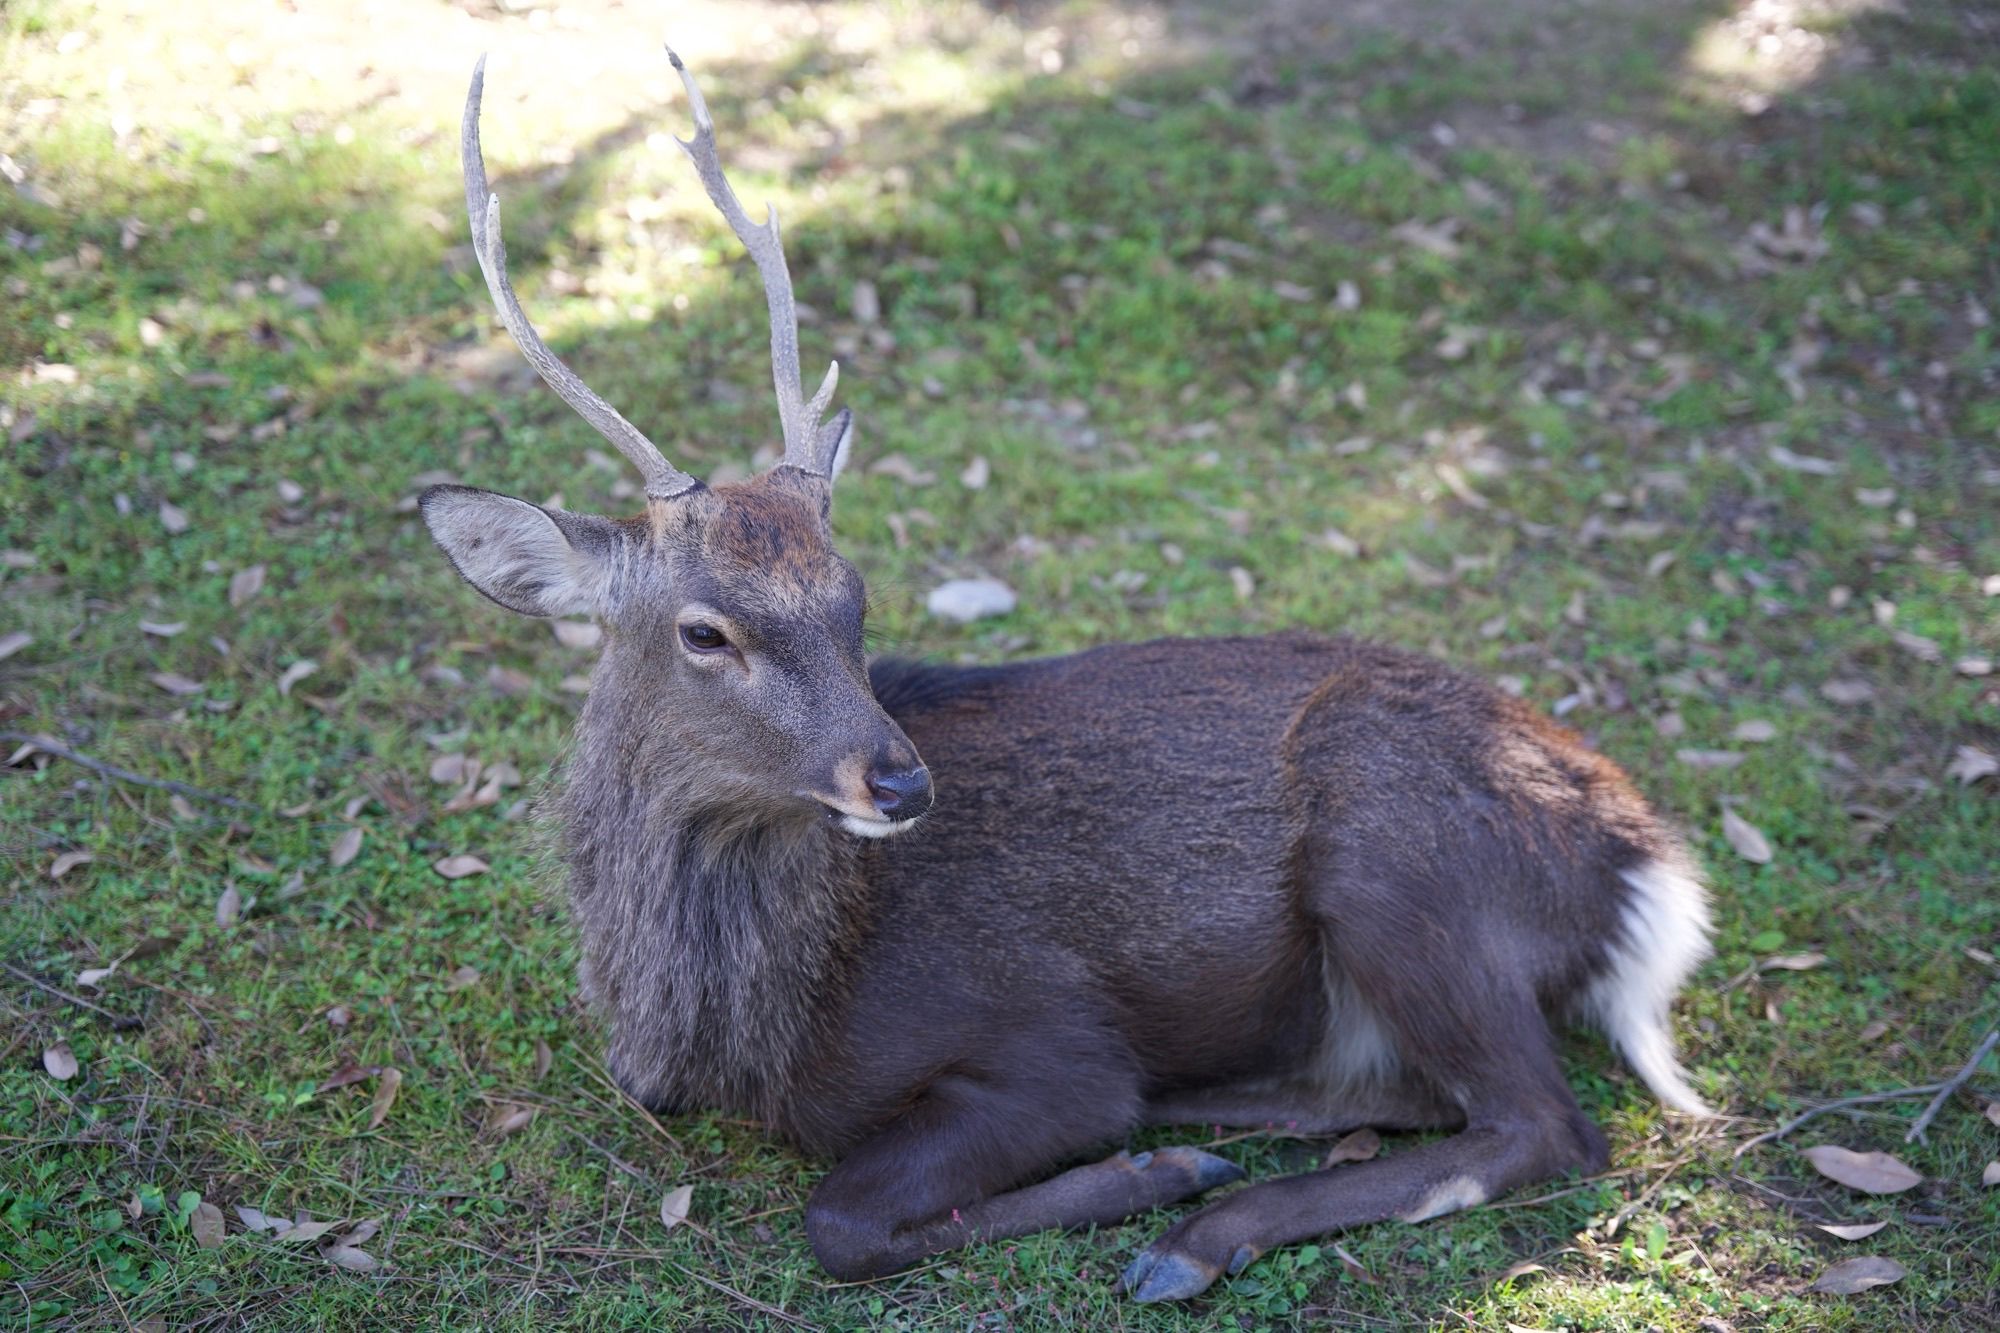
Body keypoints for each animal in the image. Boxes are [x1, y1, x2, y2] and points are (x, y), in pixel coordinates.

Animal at [426, 49, 1720, 1296]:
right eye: (705, 632)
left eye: (854, 599)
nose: (900, 782)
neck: (742, 1029)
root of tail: (1647, 870)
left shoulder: (1047, 1038)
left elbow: (842, 1216)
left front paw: (1145, 1174)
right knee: (1412, 1093)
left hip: (1401, 857)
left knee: (1539, 1125)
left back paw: (1200, 1226)